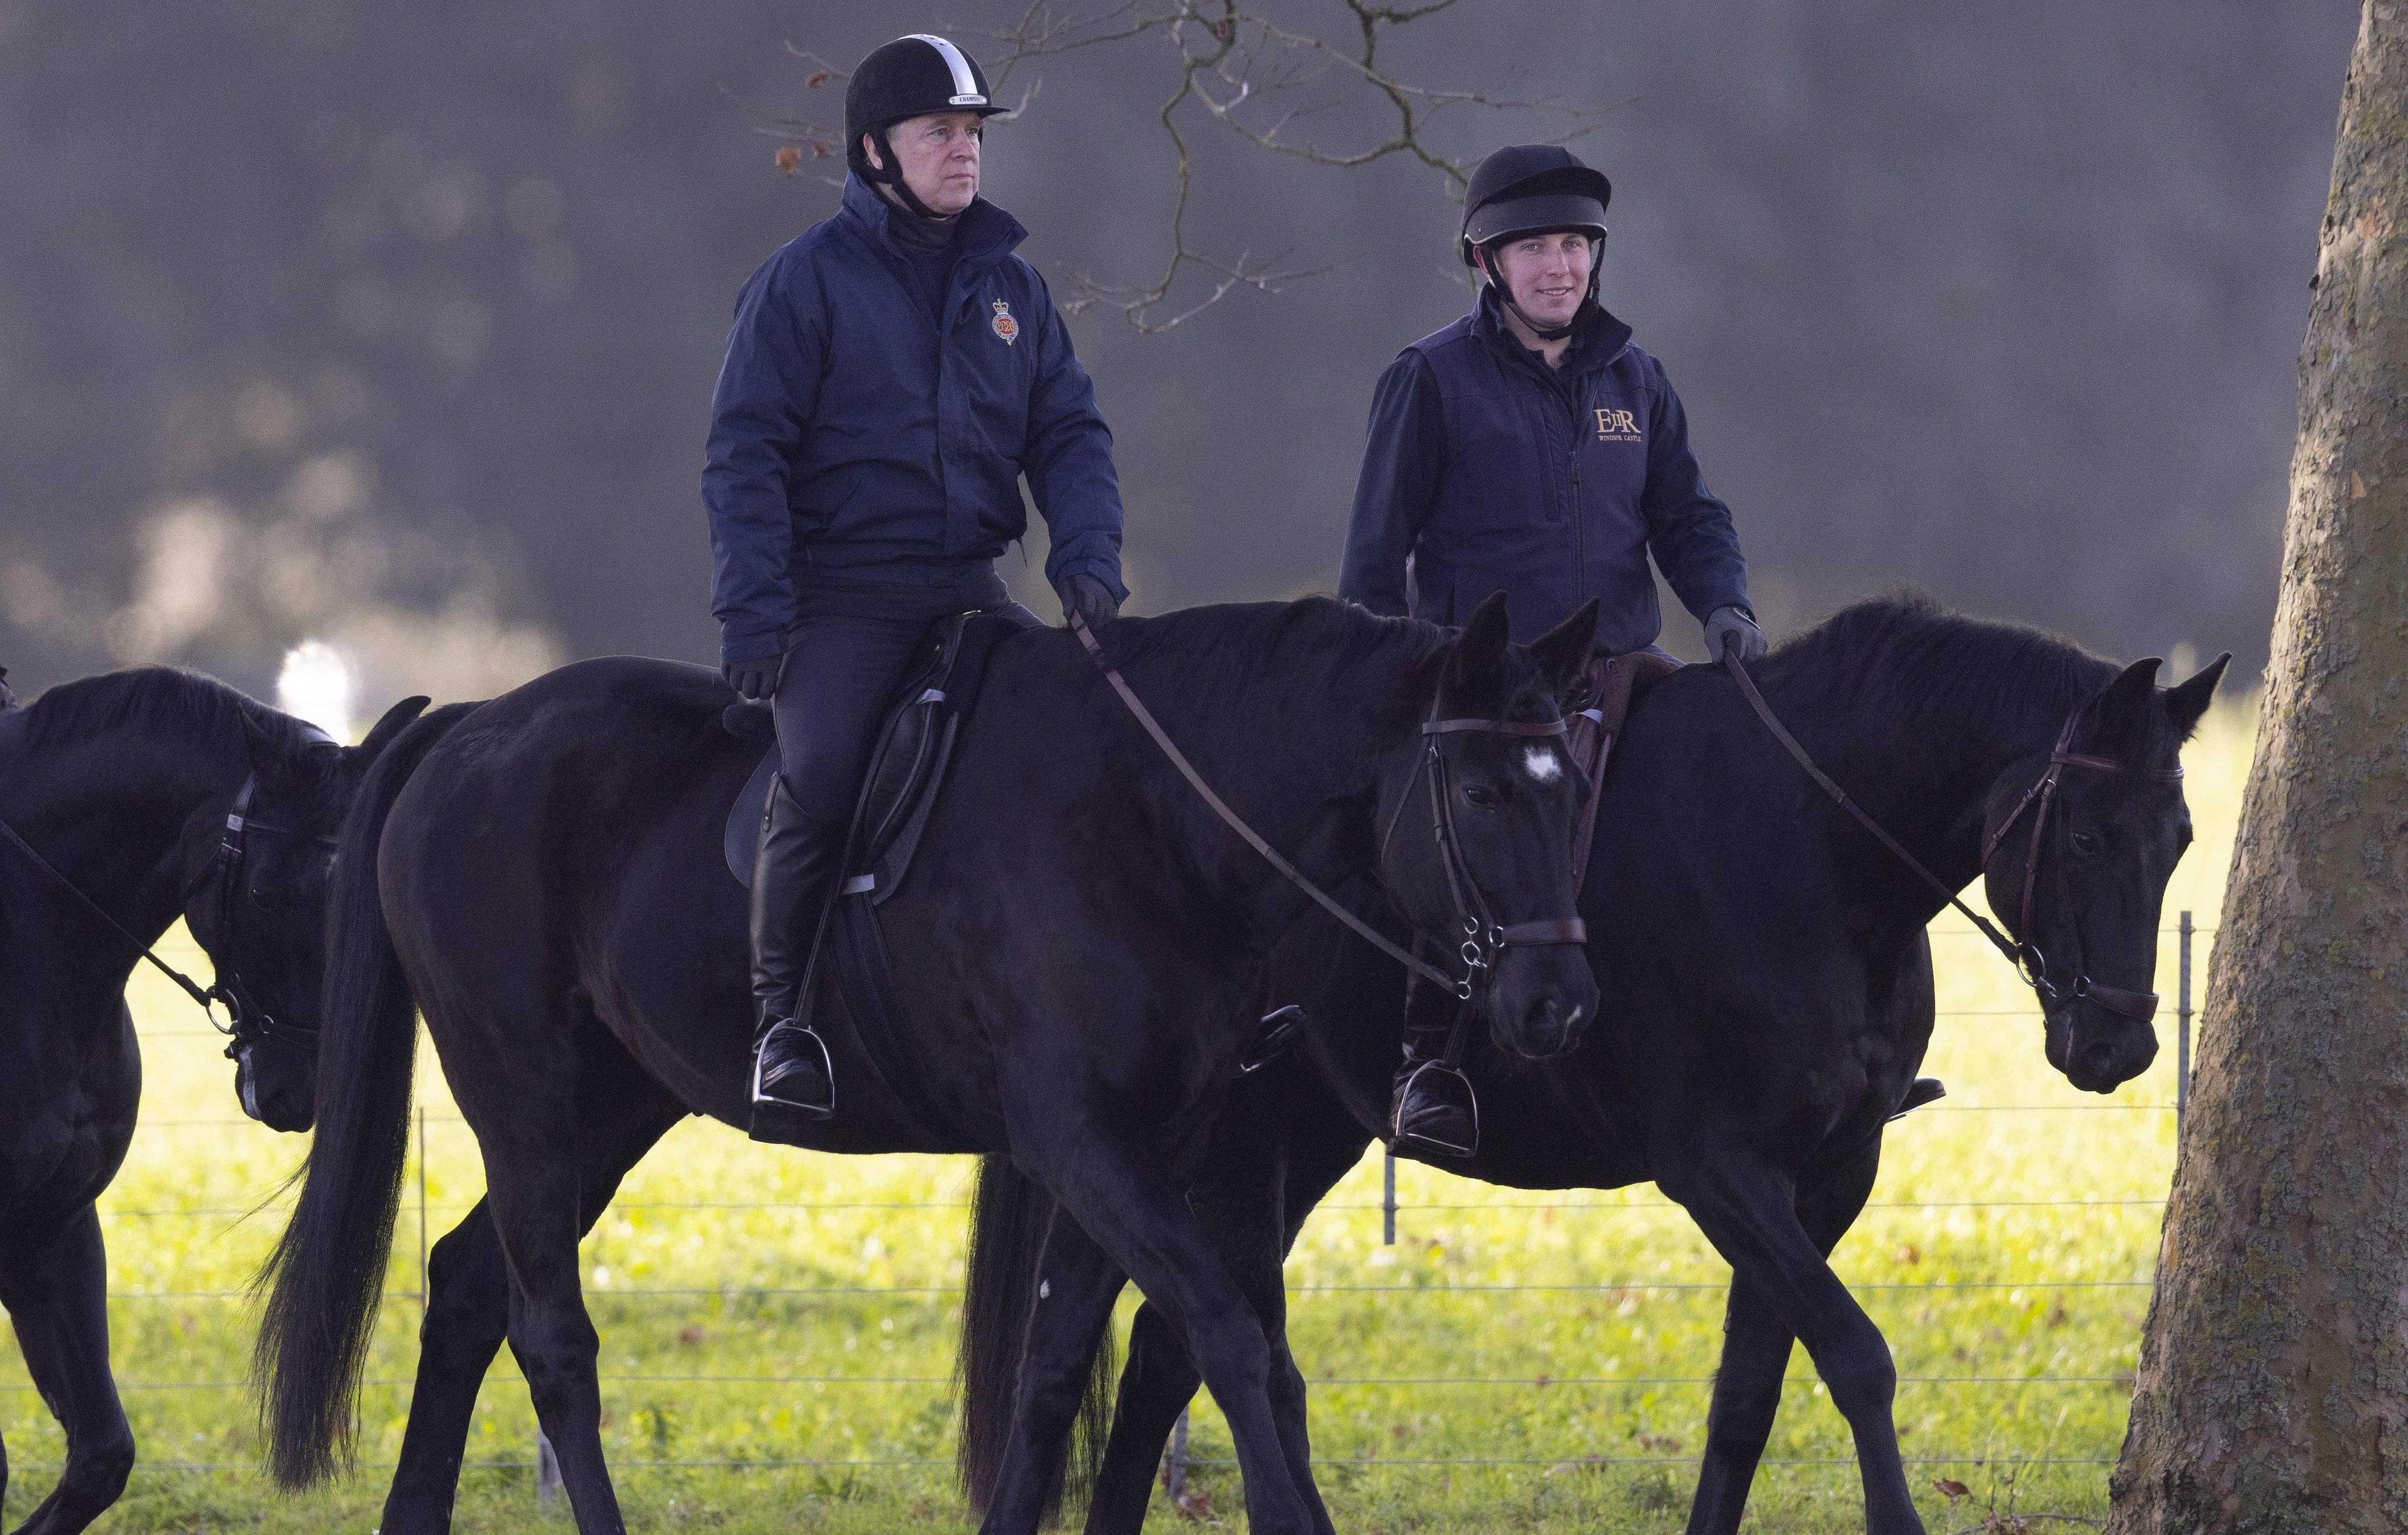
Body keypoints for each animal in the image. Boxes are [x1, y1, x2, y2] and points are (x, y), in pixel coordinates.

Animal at [259, 593, 1599, 1532]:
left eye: (1570, 782)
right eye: (1483, 790)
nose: (1559, 1003)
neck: (1153, 820)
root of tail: (471, 727)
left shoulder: (1141, 1140)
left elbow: (1058, 1361)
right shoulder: (1079, 1137)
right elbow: (1224, 1327)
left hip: (611, 1108)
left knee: (467, 1286)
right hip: (523, 1092)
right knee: (550, 1335)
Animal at [953, 597, 2215, 1532]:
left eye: (2181, 842)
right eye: (2090, 832)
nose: (2120, 1042)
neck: (1805, 854)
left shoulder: (1828, 1175)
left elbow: (1748, 1394)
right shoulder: (1718, 1170)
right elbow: (1856, 1356)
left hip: (1294, 1138)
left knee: (1167, 1355)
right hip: (1227, 1145)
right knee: (1197, 1350)